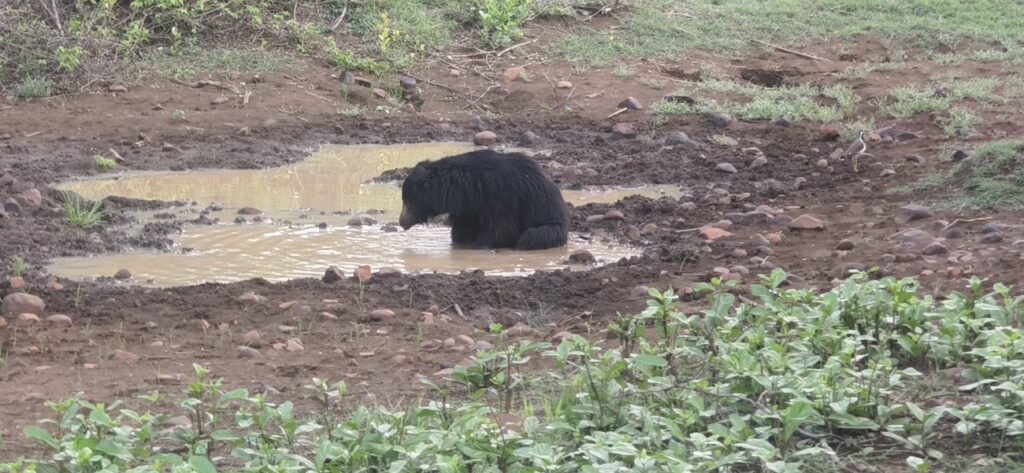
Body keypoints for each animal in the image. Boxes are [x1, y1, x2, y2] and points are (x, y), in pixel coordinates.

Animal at [398, 149, 569, 251]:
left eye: (407, 201)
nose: (402, 222)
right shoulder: (469, 206)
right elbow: (462, 230)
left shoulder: (500, 195)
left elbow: (502, 228)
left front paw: (480, 246)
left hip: (550, 223)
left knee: (532, 236)